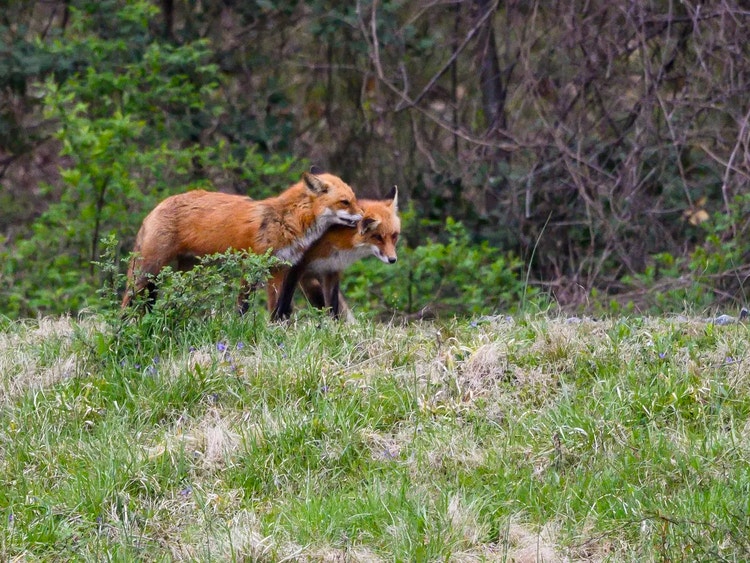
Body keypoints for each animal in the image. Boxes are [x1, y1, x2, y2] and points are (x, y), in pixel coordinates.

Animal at [121, 170, 363, 314]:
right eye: (345, 202)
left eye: (354, 199)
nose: (364, 217)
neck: (286, 220)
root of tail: (155, 208)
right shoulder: (252, 264)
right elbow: (243, 305)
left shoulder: (278, 269)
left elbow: (277, 308)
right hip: (148, 271)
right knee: (126, 301)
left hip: (185, 271)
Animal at [270, 185, 400, 321]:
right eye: (378, 237)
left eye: (394, 236)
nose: (392, 259)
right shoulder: (295, 266)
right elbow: (285, 300)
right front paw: (277, 322)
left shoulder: (332, 269)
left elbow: (333, 306)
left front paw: (333, 324)